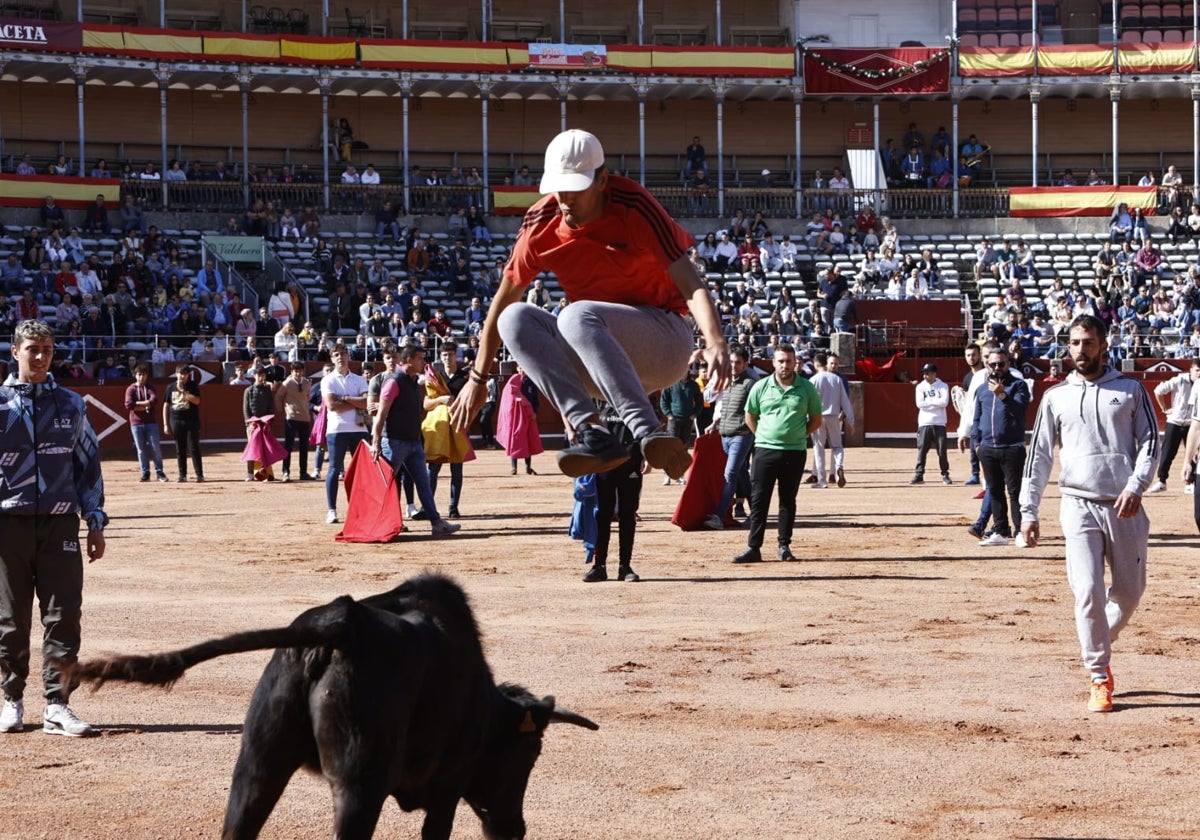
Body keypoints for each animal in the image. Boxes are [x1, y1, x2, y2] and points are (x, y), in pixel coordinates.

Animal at [63, 573, 597, 835]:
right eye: (531, 754)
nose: (515, 829)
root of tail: (337, 623)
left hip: (258, 764)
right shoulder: (448, 786)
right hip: (359, 785)